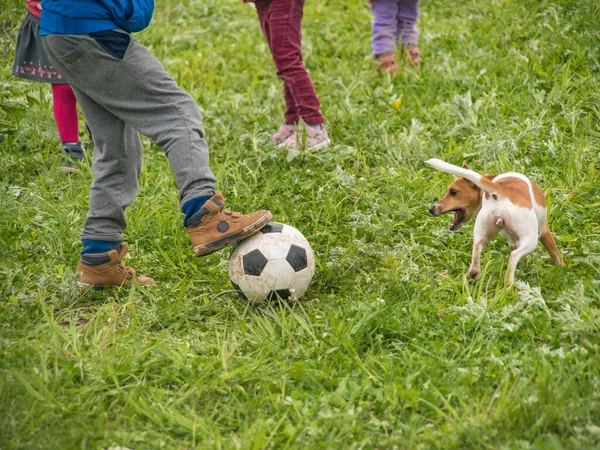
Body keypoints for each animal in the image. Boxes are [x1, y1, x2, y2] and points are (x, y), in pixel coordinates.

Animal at [426, 159, 564, 284]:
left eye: (453, 192)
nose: (431, 208)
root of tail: (499, 191)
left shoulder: (512, 240)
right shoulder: (545, 232)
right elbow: (556, 255)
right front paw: (563, 269)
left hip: (484, 231)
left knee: (477, 246)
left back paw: (473, 272)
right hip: (530, 239)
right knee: (514, 256)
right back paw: (509, 284)